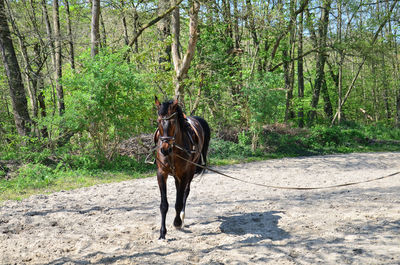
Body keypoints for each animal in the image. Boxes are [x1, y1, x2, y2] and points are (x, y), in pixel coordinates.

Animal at [153, 97, 211, 239]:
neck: (173, 150)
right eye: (158, 121)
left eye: (173, 122)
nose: (164, 149)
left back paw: (182, 217)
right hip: (176, 175)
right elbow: (164, 205)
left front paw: (177, 222)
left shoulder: (184, 174)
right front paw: (162, 232)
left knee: (185, 192)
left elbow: (179, 202)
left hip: (190, 172)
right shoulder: (161, 174)